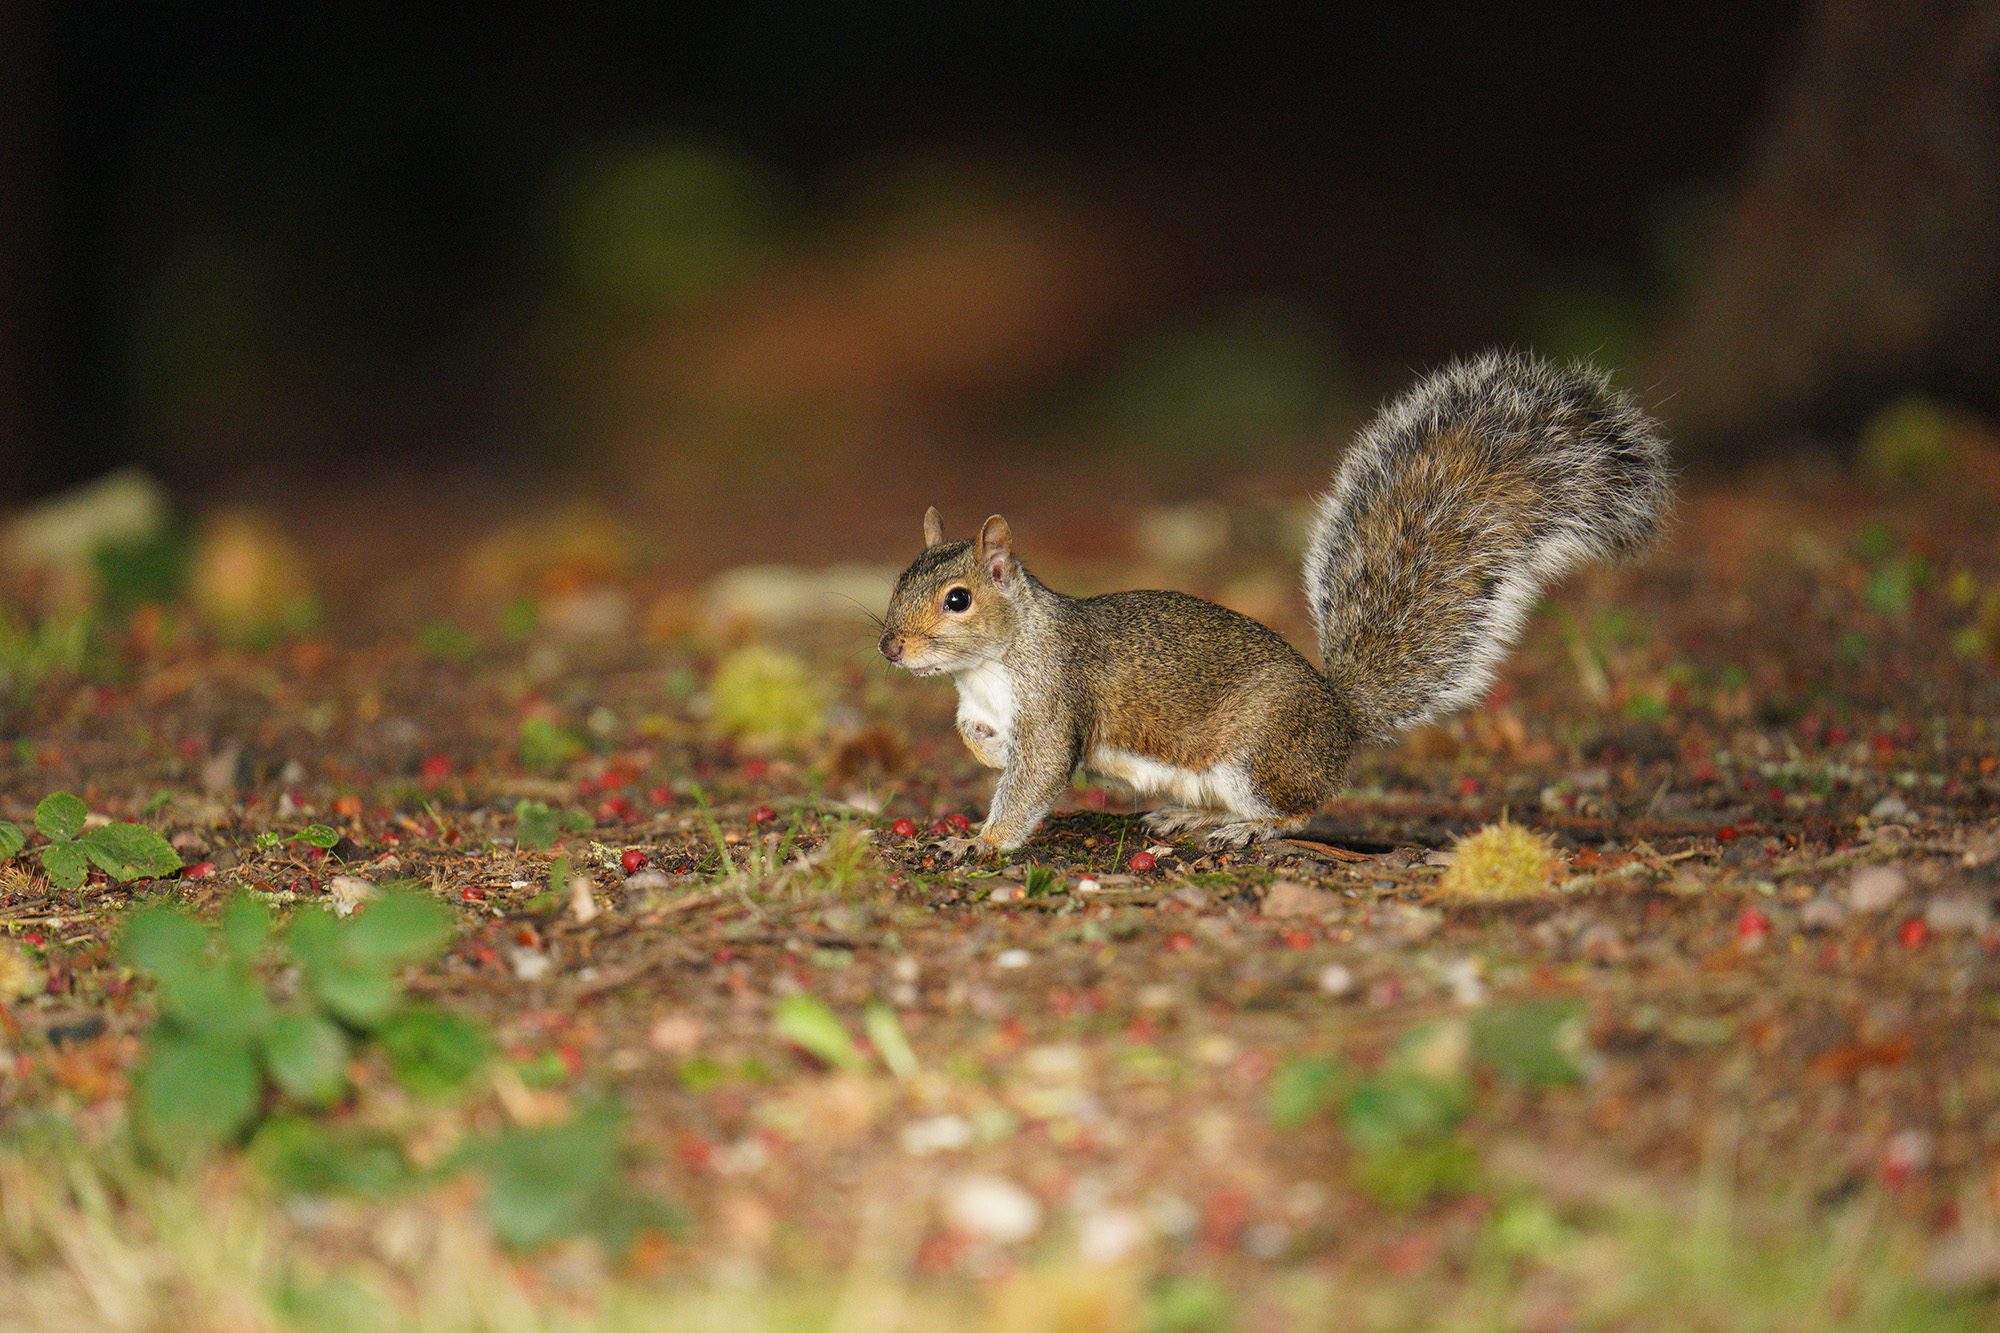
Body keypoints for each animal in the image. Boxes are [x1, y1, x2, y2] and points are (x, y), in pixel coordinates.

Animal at [880, 350, 1672, 852]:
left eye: (958, 598)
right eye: (898, 581)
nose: (890, 646)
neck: (992, 663)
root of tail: (1340, 720)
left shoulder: (1055, 699)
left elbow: (1038, 774)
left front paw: (983, 842)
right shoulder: (980, 703)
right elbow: (977, 739)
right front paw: (983, 750)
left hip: (1259, 753)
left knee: (1299, 810)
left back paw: (1246, 829)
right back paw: (1187, 819)